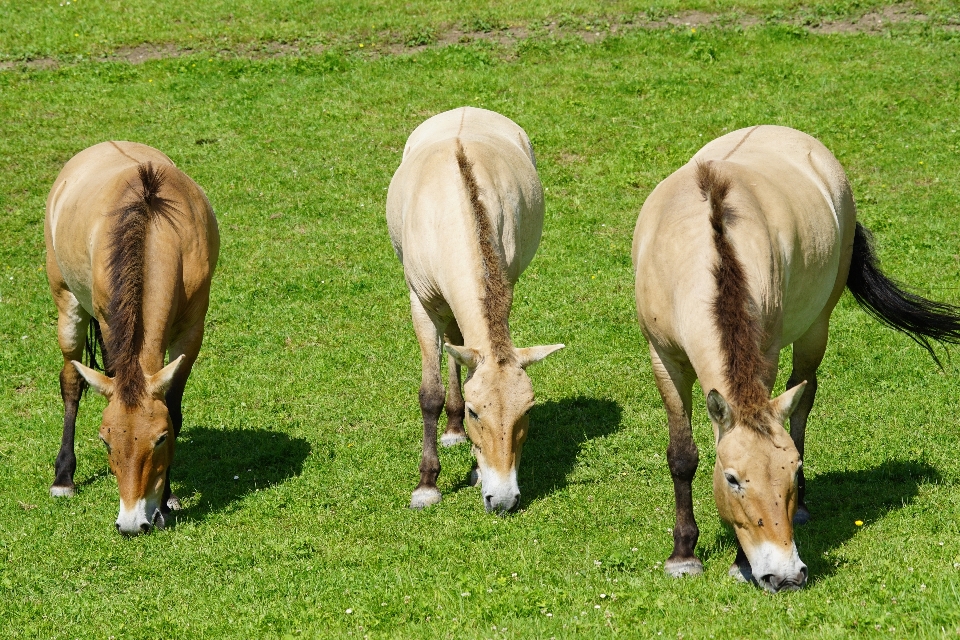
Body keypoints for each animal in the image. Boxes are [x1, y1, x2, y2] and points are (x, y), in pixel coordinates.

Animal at [46, 141, 218, 536]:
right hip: (67, 304)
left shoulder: (192, 332)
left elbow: (174, 408)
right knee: (71, 381)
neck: (154, 226)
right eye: (106, 441)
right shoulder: (110, 324)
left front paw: (167, 502)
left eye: (161, 439)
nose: (131, 523)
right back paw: (64, 478)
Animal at [384, 107, 564, 512]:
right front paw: (427, 485)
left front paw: (476, 472)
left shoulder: (505, 286)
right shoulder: (420, 302)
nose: (504, 499)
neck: (454, 215)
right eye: (474, 411)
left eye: (527, 411)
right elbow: (429, 393)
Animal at [632, 126, 960, 596]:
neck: (704, 252)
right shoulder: (664, 359)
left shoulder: (766, 356)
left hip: (816, 328)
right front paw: (683, 555)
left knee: (803, 400)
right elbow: (682, 456)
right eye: (732, 479)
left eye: (791, 471)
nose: (786, 575)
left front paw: (739, 563)